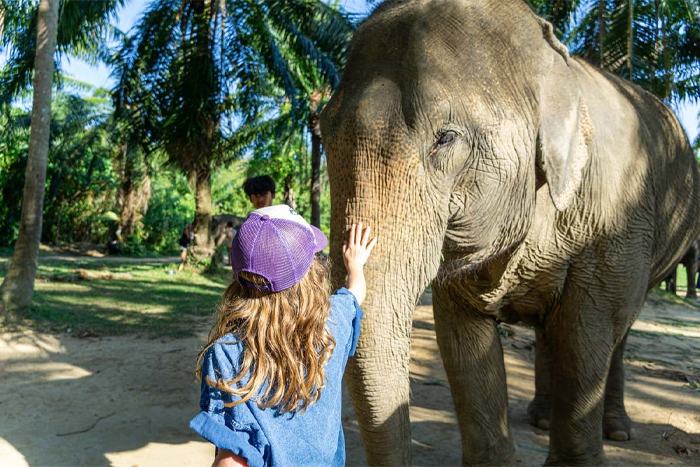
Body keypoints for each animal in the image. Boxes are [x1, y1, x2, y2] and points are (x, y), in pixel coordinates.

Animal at [318, 1, 700, 466]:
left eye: (445, 138)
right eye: (321, 132)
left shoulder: (615, 220)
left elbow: (586, 331)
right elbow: (462, 340)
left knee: (616, 332)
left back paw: (618, 431)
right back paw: (541, 419)